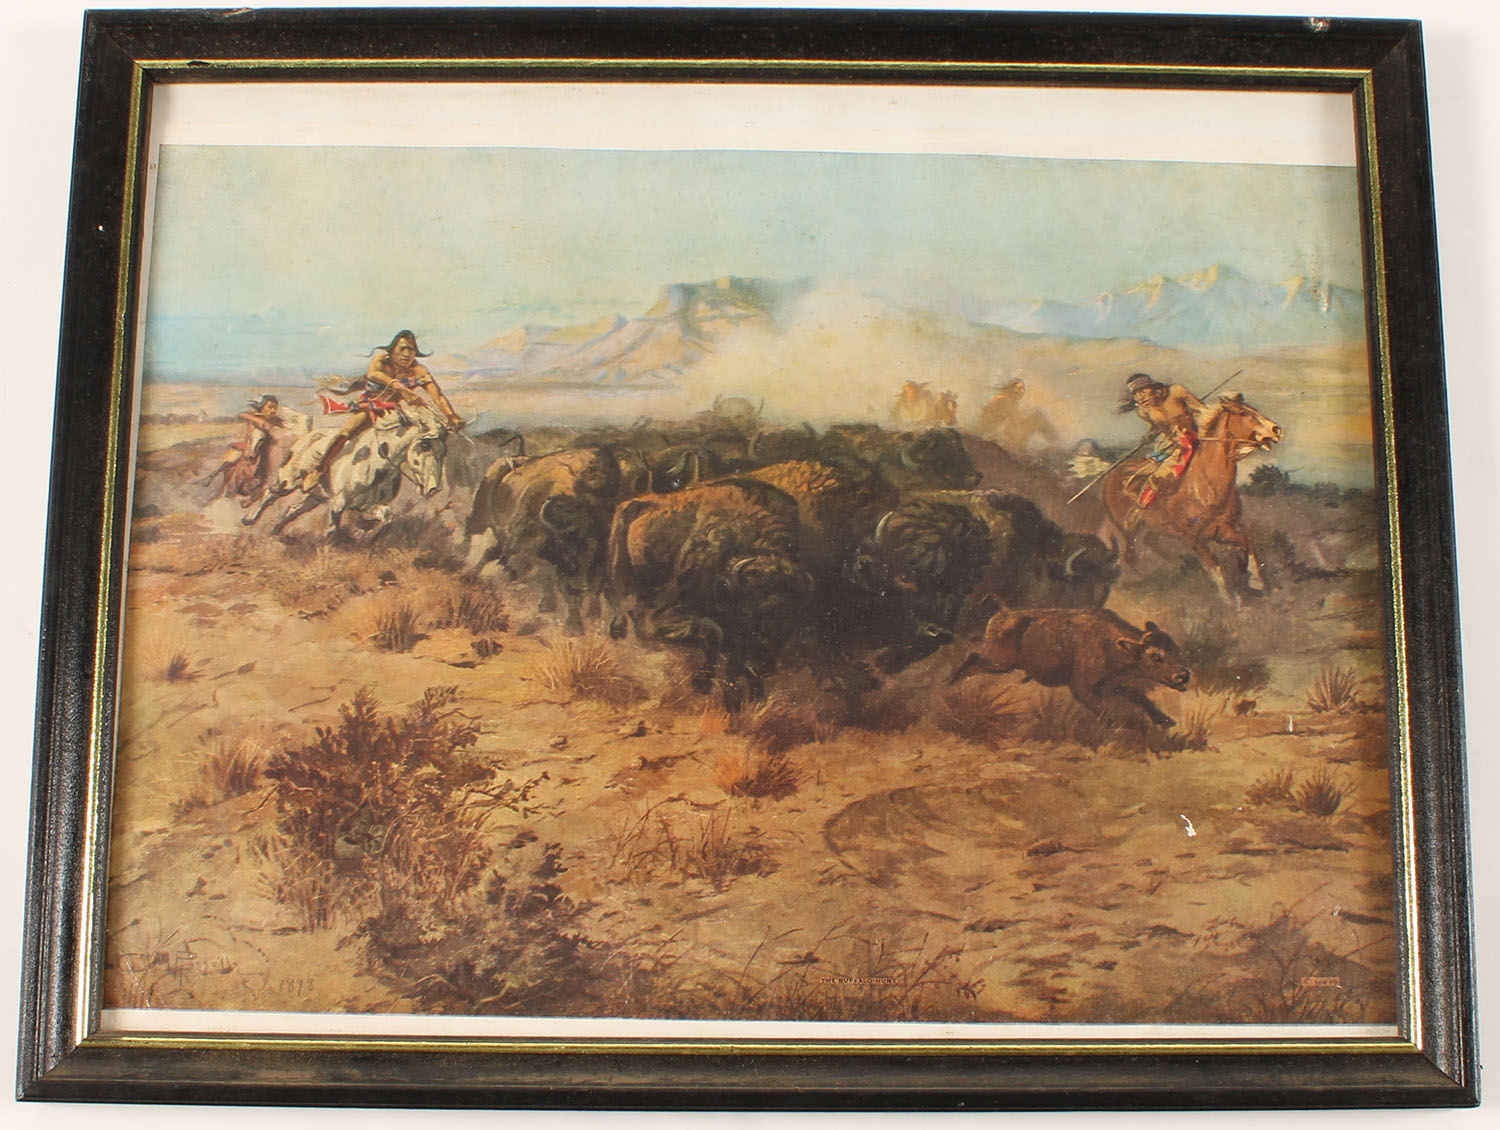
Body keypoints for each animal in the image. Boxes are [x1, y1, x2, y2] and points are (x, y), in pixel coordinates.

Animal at [242, 400, 449, 538]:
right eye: (424, 446)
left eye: (443, 451)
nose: (434, 488)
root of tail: (308, 435)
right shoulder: (338, 503)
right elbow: (331, 533)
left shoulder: (363, 506)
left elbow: (387, 516)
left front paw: (363, 535)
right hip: (287, 481)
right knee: (270, 493)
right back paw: (249, 519)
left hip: (315, 496)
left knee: (292, 509)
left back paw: (275, 531)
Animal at [1100, 393, 1282, 604]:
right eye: (1244, 413)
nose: (1276, 430)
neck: (1206, 485)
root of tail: (1109, 474)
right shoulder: (1195, 539)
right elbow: (1216, 569)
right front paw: (1230, 602)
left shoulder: (1224, 530)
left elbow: (1249, 544)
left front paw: (1258, 583)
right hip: (1127, 529)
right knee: (1130, 554)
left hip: (1154, 526)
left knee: (1149, 542)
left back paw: (1173, 563)